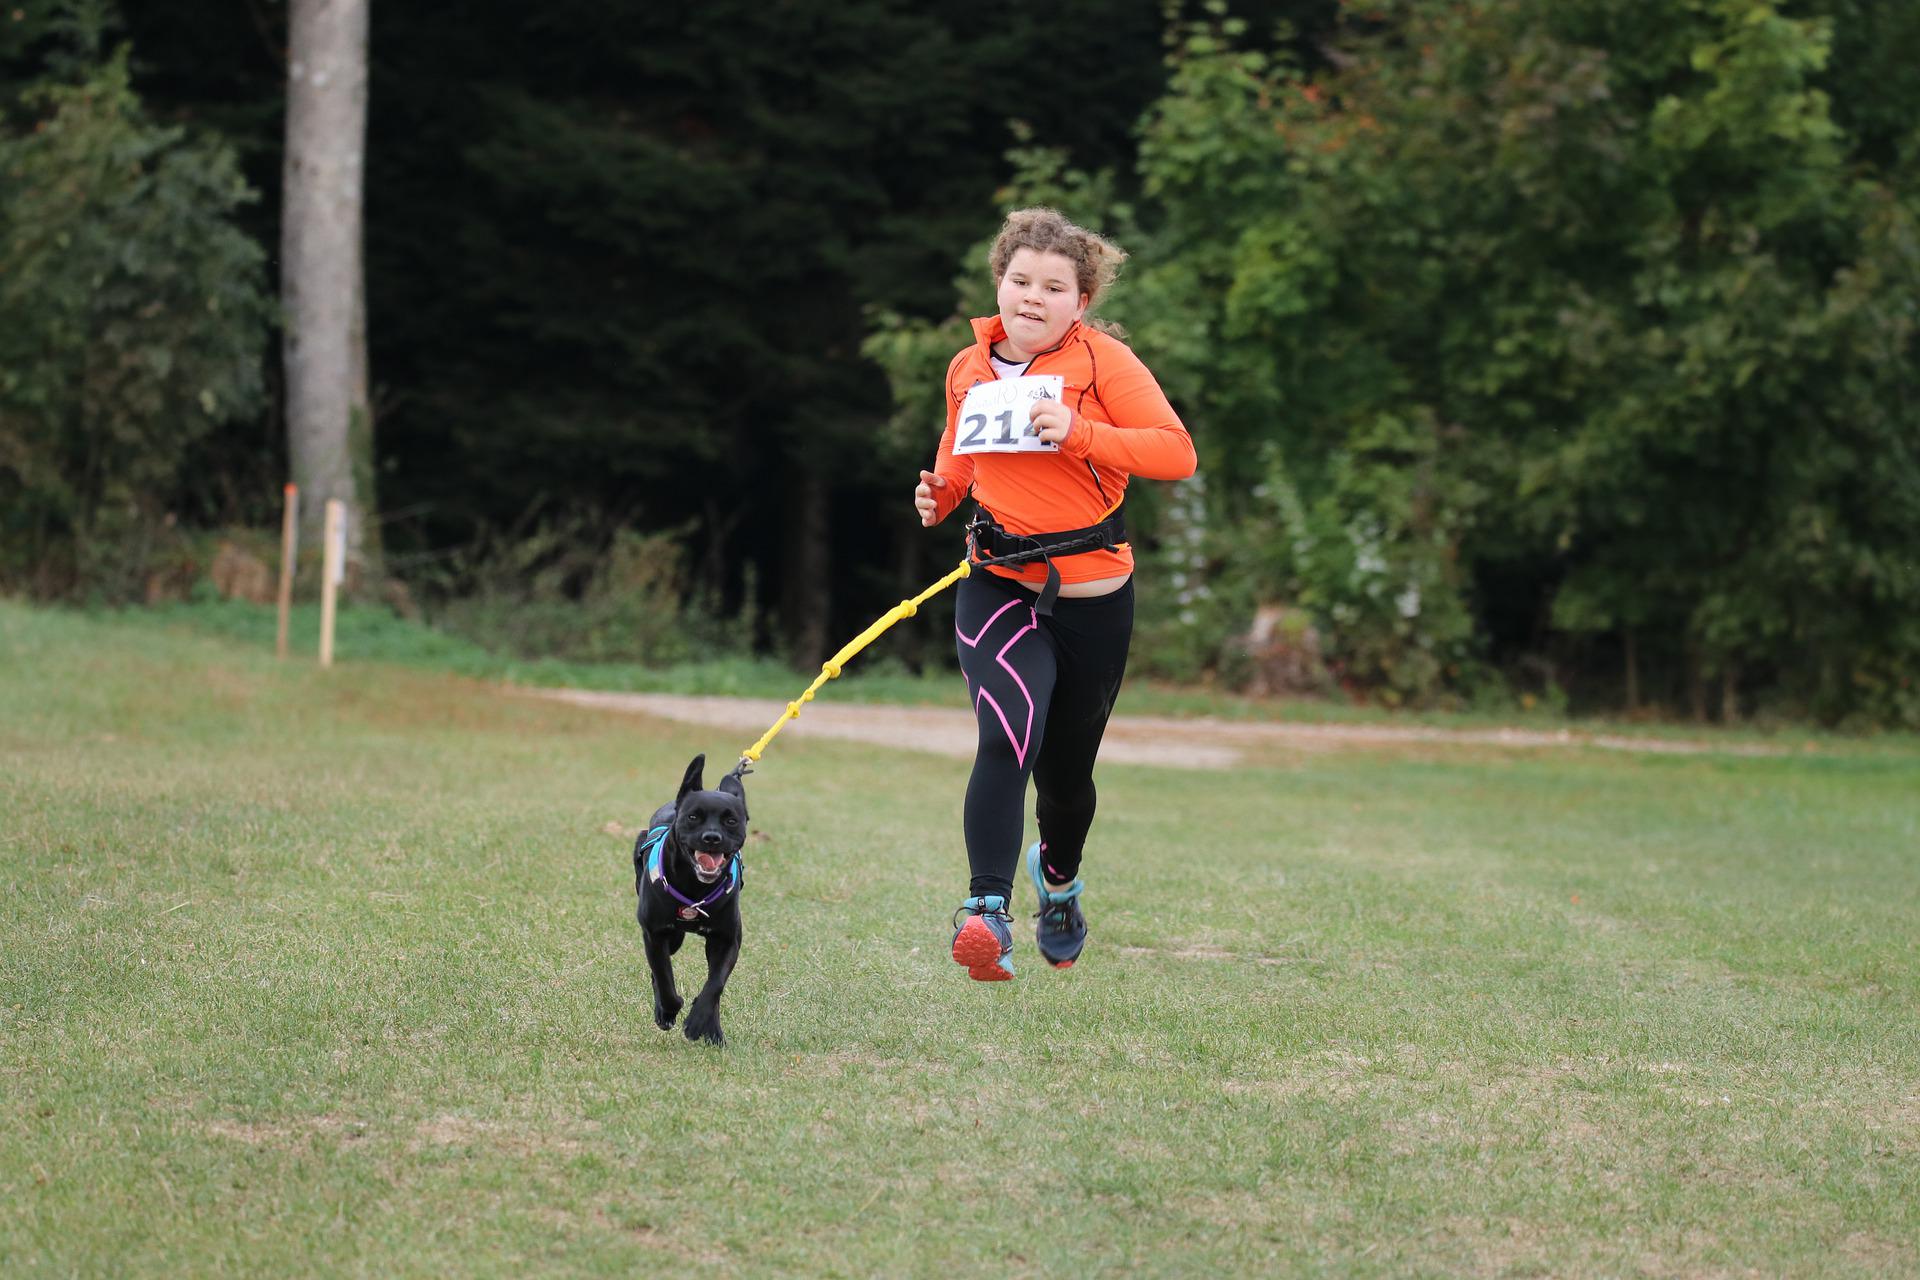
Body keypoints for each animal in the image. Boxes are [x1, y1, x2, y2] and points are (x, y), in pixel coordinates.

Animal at [633, 759, 744, 1043]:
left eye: (731, 820)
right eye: (693, 817)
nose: (712, 837)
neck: (695, 889)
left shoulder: (727, 939)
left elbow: (715, 985)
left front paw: (698, 1021)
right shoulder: (655, 934)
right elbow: (663, 977)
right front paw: (669, 1010)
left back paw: (713, 1030)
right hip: (672, 938)